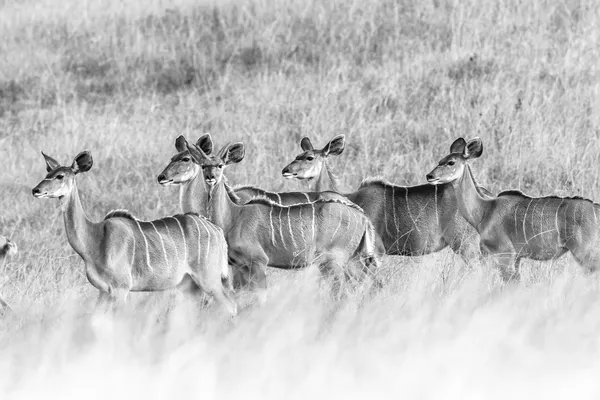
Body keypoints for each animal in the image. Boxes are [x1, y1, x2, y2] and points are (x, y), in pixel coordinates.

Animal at [31, 150, 236, 316]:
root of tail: (217, 231)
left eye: (60, 176)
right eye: (47, 173)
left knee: (230, 306)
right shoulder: (103, 291)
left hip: (209, 280)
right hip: (189, 286)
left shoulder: (121, 289)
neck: (95, 240)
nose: (36, 190)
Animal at [185, 139, 380, 298]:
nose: (210, 178)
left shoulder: (258, 262)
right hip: (351, 260)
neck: (232, 218)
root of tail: (363, 218)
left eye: (220, 165)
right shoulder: (239, 265)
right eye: (203, 166)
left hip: (336, 261)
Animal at [424, 138, 600, 282]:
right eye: (440, 160)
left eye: (451, 162)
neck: (485, 210)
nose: (429, 176)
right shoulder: (516, 258)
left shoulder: (505, 254)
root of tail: (596, 209)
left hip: (585, 252)